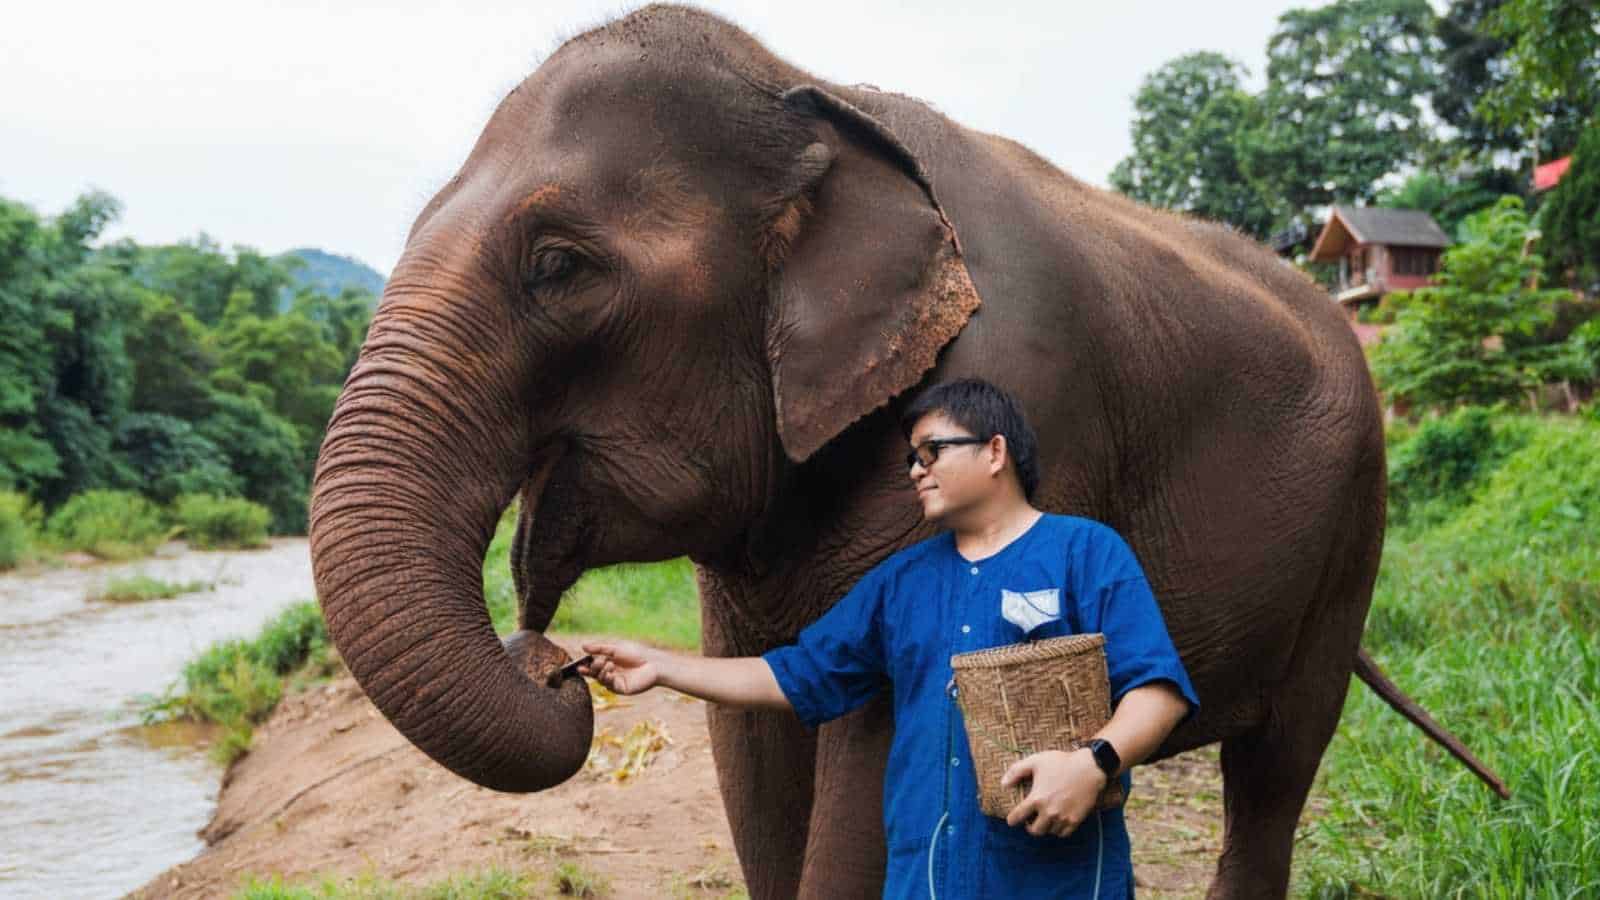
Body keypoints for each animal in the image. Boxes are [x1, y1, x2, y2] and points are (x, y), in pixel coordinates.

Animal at [305, 3, 1504, 890]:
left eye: (559, 266)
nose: (557, 665)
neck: (805, 89)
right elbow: (759, 743)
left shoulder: (1031, 382)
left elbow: (875, 752)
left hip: (1352, 536)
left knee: (1275, 771)